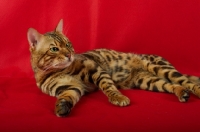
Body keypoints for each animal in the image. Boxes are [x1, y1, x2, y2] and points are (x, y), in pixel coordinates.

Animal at [27, 19, 200, 116]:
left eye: (68, 44)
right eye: (54, 49)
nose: (70, 54)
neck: (58, 71)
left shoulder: (95, 69)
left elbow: (108, 86)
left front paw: (118, 97)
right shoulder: (70, 87)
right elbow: (67, 97)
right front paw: (62, 108)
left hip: (160, 68)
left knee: (187, 81)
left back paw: (194, 90)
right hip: (149, 82)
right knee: (172, 85)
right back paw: (182, 93)